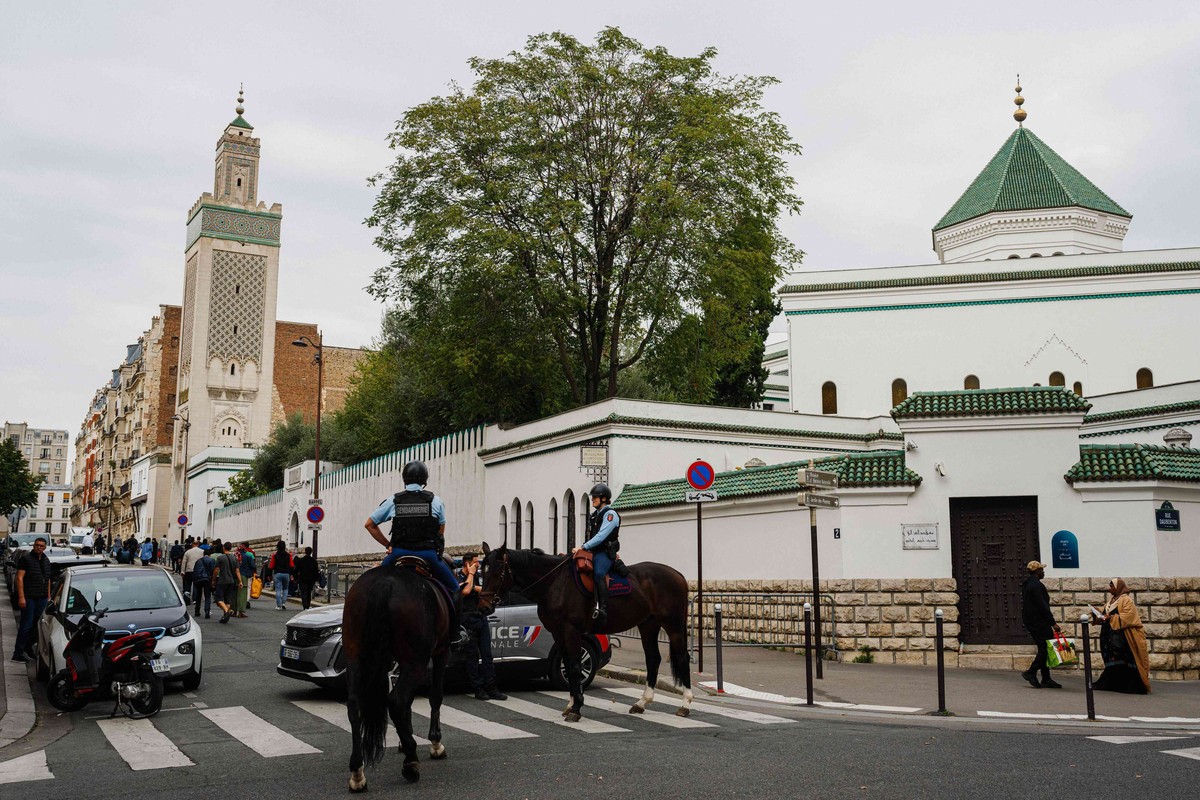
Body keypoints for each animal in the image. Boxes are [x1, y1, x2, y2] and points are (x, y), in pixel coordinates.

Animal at [340, 566, 451, 791]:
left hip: (355, 654)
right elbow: (435, 696)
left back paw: (357, 772)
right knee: (397, 701)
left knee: (355, 704)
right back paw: (411, 762)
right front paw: (435, 743)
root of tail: (385, 582)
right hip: (416, 660)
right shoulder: (441, 652)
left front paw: (404, 737)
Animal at [477, 546, 696, 724]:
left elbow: (575, 666)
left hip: (673, 625)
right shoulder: (558, 633)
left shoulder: (571, 631)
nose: (484, 607)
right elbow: (567, 664)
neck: (554, 583)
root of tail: (677, 574)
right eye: (483, 571)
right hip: (648, 625)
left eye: (496, 572)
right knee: (652, 659)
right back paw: (642, 702)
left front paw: (576, 708)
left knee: (682, 657)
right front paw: (571, 704)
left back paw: (685, 704)